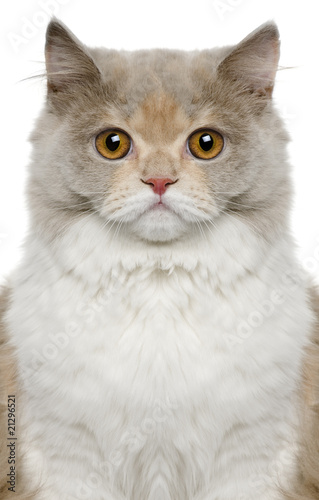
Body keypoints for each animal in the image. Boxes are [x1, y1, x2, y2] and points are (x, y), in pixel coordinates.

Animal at [0, 16, 319, 500]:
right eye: (112, 143)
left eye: (206, 144)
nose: (159, 181)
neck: (159, 286)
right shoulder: (68, 460)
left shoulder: (252, 460)